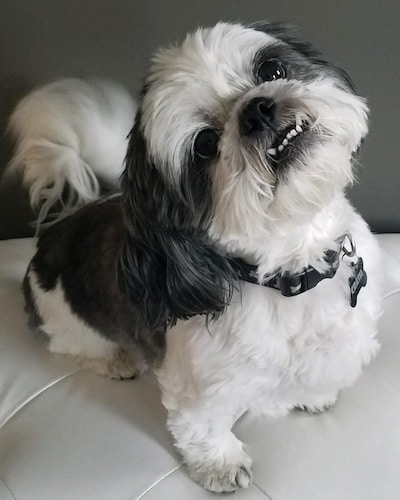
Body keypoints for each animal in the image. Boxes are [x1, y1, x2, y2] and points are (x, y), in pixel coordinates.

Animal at [7, 22, 382, 492]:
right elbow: (203, 428)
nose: (256, 110)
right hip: (63, 322)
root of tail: (60, 228)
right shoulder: (201, 388)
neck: (292, 272)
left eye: (272, 69)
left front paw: (314, 397)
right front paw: (221, 465)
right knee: (71, 344)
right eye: (204, 145)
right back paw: (115, 360)